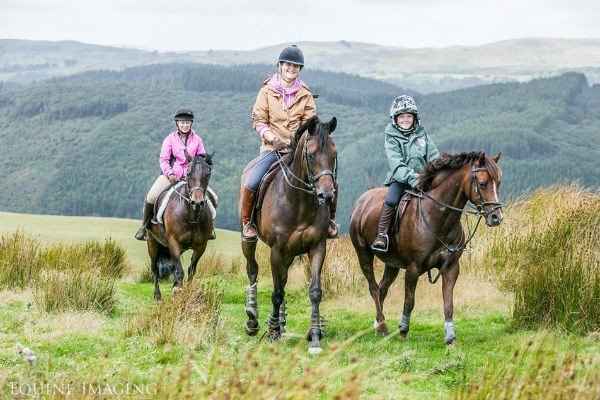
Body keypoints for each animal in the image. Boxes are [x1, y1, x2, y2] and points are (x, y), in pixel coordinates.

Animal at [146, 152, 214, 300]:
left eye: (208, 174)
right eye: (188, 173)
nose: (197, 202)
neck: (191, 216)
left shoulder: (201, 246)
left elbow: (191, 270)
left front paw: (184, 294)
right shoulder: (174, 243)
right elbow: (180, 271)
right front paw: (177, 293)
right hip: (152, 242)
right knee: (154, 268)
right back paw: (157, 296)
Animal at [238, 115, 338, 354]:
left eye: (334, 154)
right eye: (310, 154)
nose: (327, 195)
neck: (299, 202)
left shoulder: (317, 247)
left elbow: (314, 291)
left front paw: (315, 338)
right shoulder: (277, 250)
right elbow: (276, 293)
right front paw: (272, 331)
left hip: (291, 253)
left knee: (282, 279)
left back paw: (282, 324)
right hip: (250, 241)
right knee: (252, 270)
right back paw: (253, 319)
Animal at [350, 152, 504, 346]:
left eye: (498, 182)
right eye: (482, 183)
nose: (497, 217)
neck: (437, 218)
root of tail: (361, 202)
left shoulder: (451, 267)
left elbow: (448, 303)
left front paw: (451, 337)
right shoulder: (413, 268)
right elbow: (409, 301)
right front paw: (403, 331)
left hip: (391, 263)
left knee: (382, 288)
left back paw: (378, 324)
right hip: (363, 254)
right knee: (373, 288)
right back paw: (383, 326)